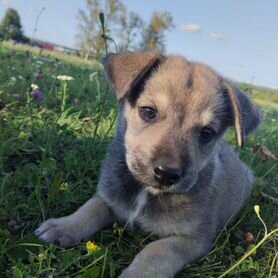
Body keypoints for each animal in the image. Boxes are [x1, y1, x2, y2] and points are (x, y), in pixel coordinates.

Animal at [35, 51, 262, 276]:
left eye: (207, 133)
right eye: (148, 111)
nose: (166, 174)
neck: (145, 193)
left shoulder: (194, 238)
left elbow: (157, 250)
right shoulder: (110, 199)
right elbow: (91, 208)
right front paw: (63, 226)